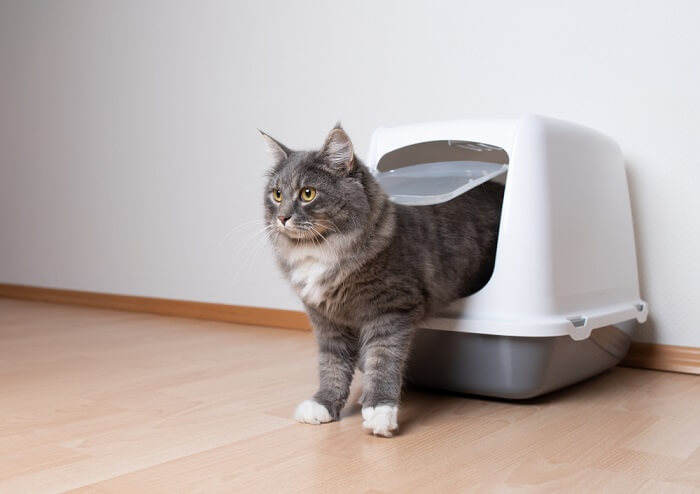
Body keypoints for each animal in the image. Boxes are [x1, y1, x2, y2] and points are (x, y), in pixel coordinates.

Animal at [262, 125, 504, 438]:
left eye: (307, 193)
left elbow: (383, 361)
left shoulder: (390, 311)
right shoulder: (327, 321)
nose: (282, 218)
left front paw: (379, 411)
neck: (321, 250)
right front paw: (324, 405)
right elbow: (331, 365)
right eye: (277, 195)